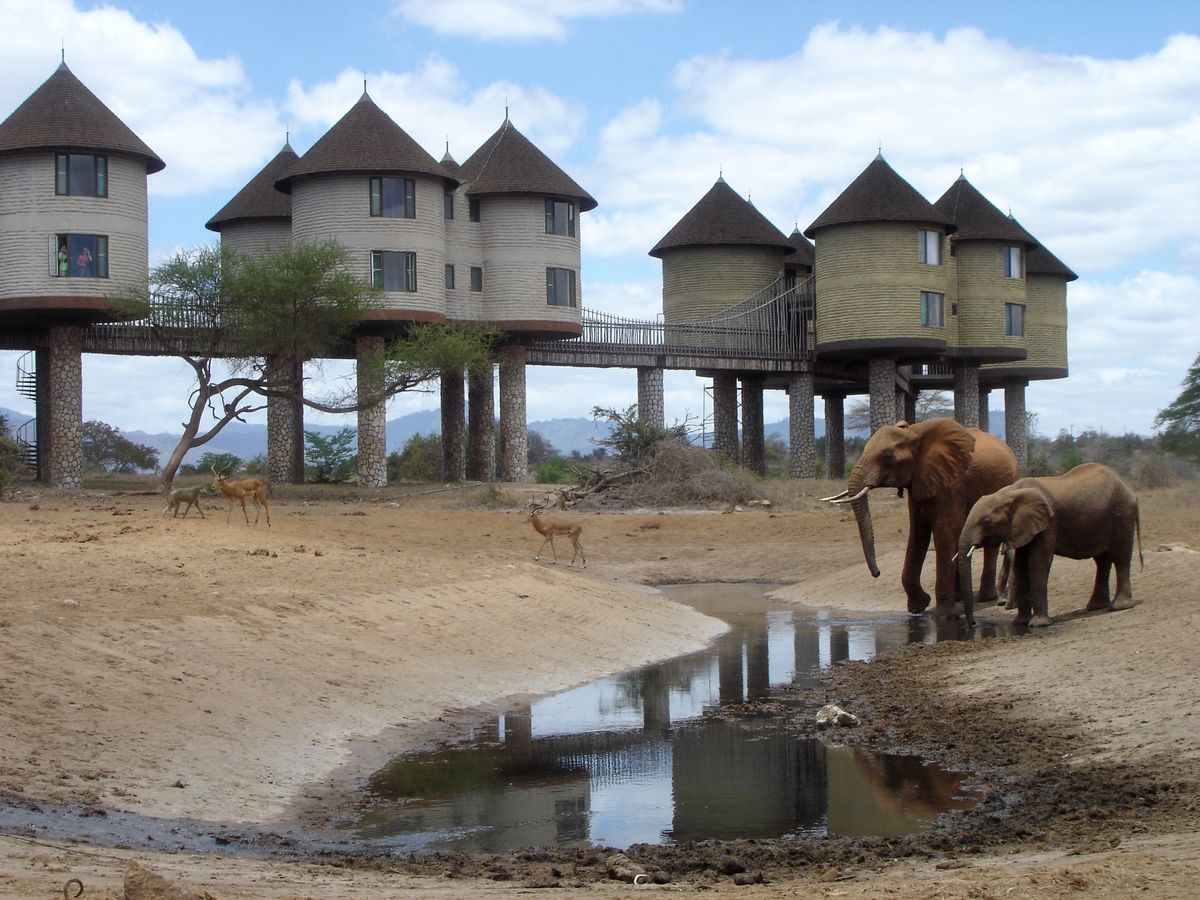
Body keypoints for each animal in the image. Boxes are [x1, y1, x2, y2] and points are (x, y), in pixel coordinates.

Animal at [830, 417, 1017, 619]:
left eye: (887, 457)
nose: (877, 573)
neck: (915, 431)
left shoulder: (952, 483)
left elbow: (944, 532)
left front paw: (944, 616)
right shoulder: (919, 482)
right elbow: (918, 533)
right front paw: (918, 607)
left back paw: (984, 598)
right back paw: (960, 598)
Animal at [955, 465, 1142, 628]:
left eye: (986, 521)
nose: (972, 624)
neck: (1010, 493)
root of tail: (1128, 486)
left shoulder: (1049, 523)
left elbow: (1037, 562)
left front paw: (1038, 624)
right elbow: (1021, 565)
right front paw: (1020, 623)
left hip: (1122, 514)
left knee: (1120, 557)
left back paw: (1119, 606)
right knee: (1102, 560)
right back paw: (1095, 607)